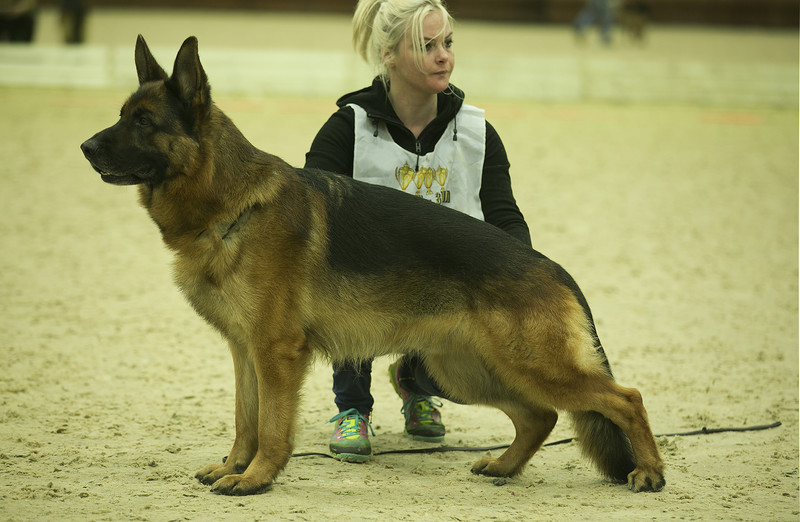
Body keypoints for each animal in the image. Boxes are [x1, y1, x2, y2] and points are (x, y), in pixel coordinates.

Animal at [80, 35, 665, 496]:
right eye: (121, 115)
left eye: (144, 121)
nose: (85, 146)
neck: (231, 205)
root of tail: (555, 269)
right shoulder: (244, 351)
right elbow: (246, 420)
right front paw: (233, 467)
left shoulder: (274, 352)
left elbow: (270, 426)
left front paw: (256, 478)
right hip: (466, 369)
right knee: (540, 415)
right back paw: (505, 466)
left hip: (527, 365)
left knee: (626, 398)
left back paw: (649, 472)